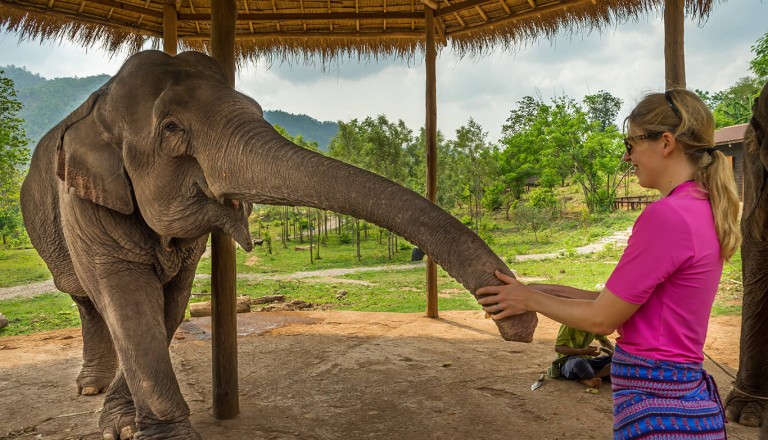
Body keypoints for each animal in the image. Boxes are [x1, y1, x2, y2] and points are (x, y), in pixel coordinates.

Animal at [18, 49, 536, 438]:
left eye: (256, 109)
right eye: (171, 129)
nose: (519, 326)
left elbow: (169, 303)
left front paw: (125, 423)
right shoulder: (82, 202)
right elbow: (126, 297)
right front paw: (149, 431)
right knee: (86, 299)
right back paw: (89, 387)